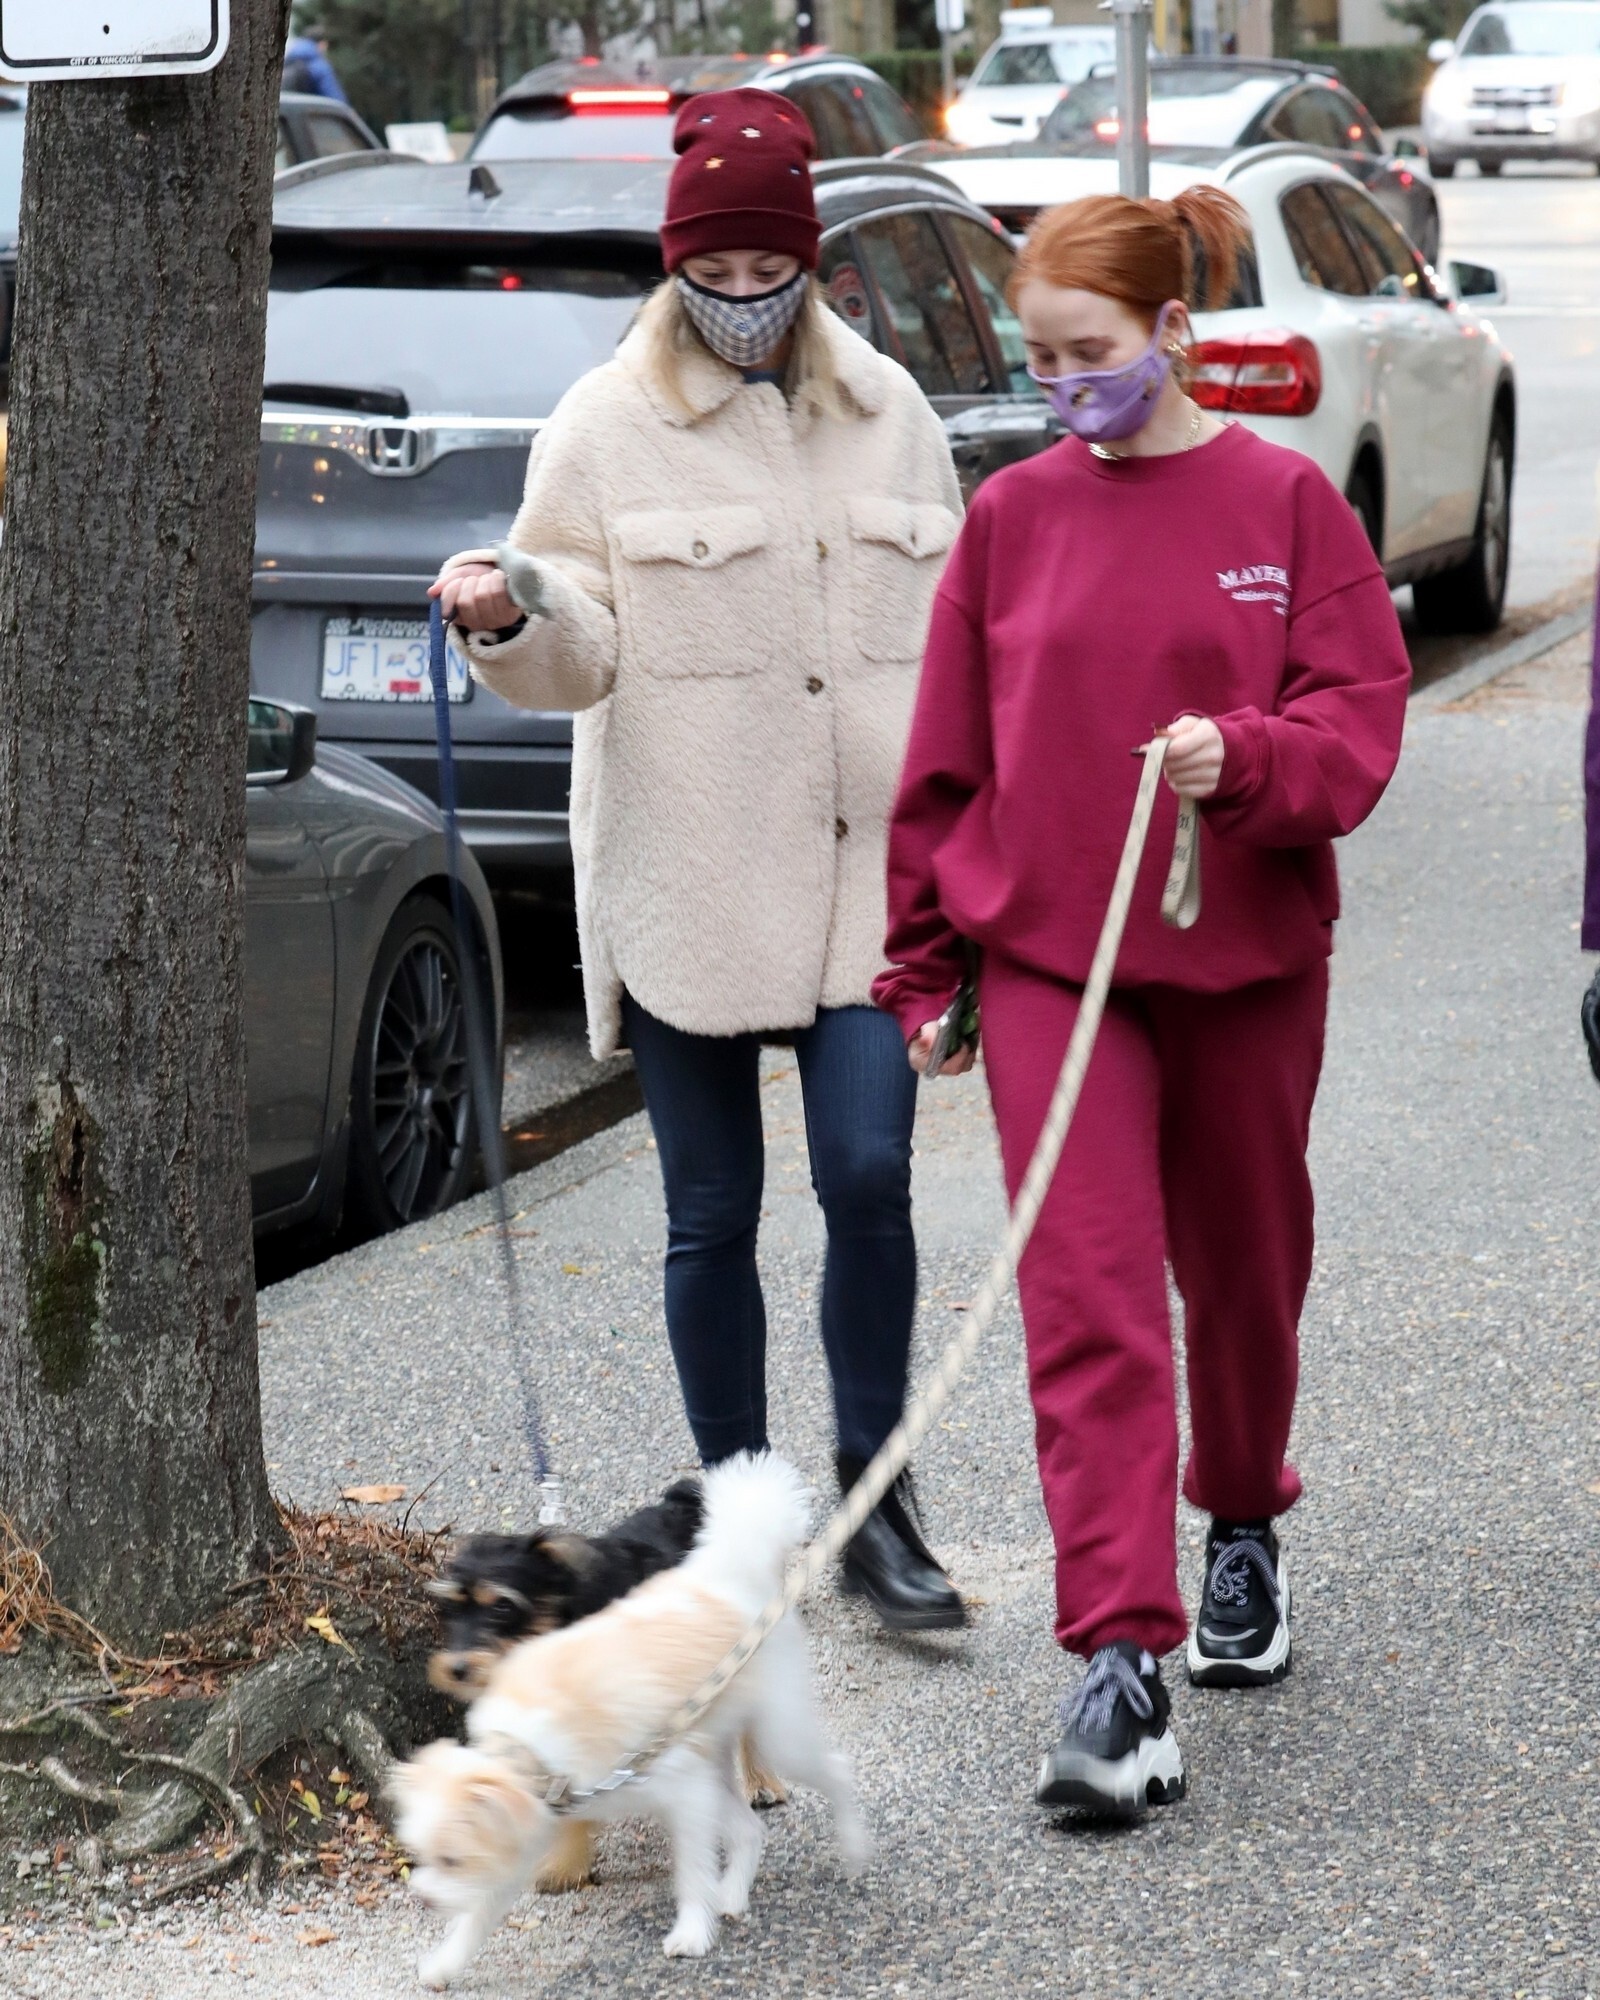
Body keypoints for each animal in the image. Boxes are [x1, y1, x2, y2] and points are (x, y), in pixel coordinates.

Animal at [391, 1454, 869, 1980]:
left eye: (501, 1607)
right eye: (447, 1610)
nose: (423, 1900)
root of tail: (727, 1566)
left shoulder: (681, 1791)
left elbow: (692, 1872)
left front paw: (691, 1932)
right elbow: (480, 1914)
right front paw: (445, 1961)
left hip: (779, 1732)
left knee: (830, 1770)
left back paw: (846, 1843)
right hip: (710, 1751)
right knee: (748, 1828)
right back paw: (733, 1893)